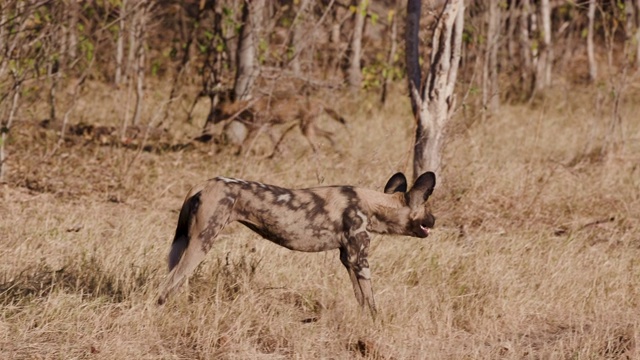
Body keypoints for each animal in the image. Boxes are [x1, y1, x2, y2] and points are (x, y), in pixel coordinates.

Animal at [157, 170, 436, 314]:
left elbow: (361, 300)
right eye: (427, 209)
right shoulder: (360, 260)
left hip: (185, 244)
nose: (434, 219)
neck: (373, 204)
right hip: (202, 242)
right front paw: (377, 326)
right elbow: (372, 302)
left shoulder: (348, 259)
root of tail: (202, 184)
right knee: (171, 283)